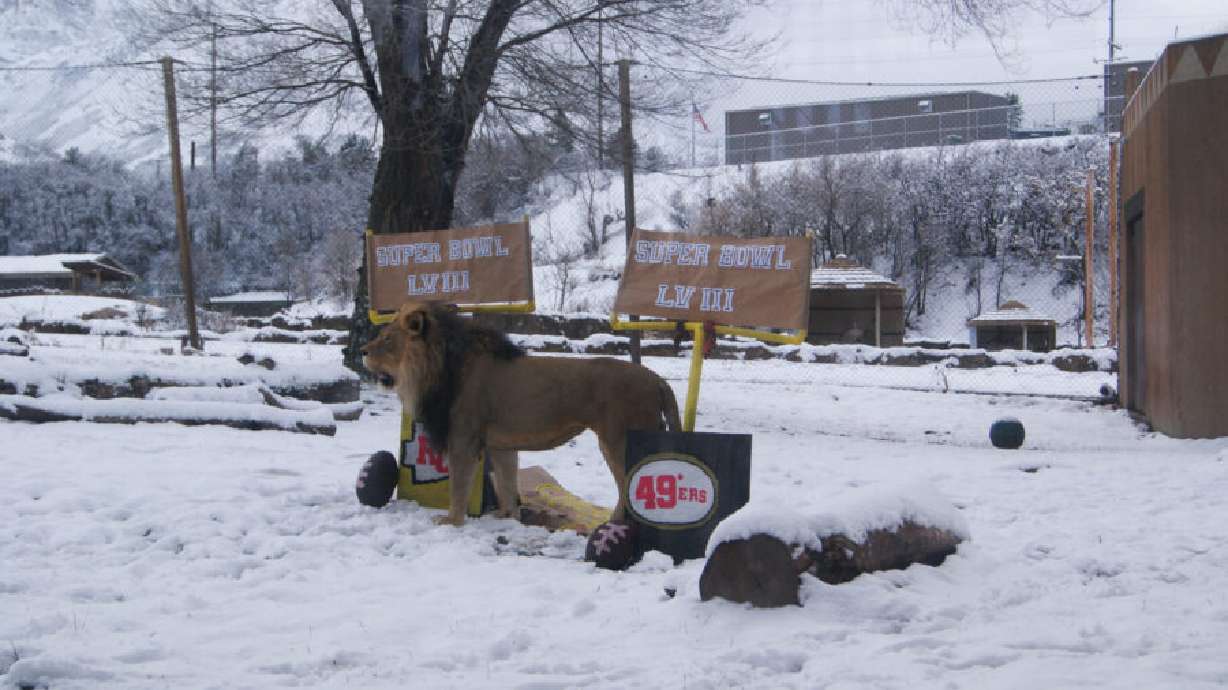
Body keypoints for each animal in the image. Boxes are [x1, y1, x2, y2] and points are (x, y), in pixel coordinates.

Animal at [362, 301, 682, 527]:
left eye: (387, 339)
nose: (363, 351)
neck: (437, 368)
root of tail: (657, 379)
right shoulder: (501, 445)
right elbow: (506, 482)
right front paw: (507, 516)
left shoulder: (463, 439)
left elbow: (459, 484)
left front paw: (451, 520)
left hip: (618, 441)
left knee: (630, 486)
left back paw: (614, 524)